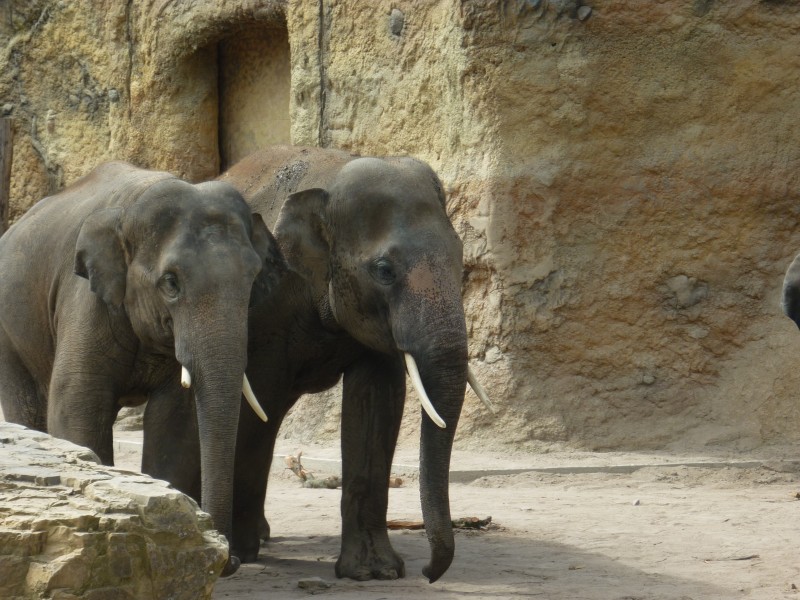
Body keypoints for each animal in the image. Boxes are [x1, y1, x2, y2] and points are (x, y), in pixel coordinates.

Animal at [0, 161, 286, 576]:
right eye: (171, 283)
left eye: (252, 278)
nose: (230, 561)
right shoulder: (84, 299)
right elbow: (77, 406)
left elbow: (175, 423)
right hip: (10, 332)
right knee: (29, 409)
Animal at [145, 144, 494, 580]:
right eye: (384, 270)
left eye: (460, 256)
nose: (429, 573)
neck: (333, 175)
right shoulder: (265, 309)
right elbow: (257, 403)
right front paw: (238, 552)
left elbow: (378, 400)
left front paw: (373, 573)